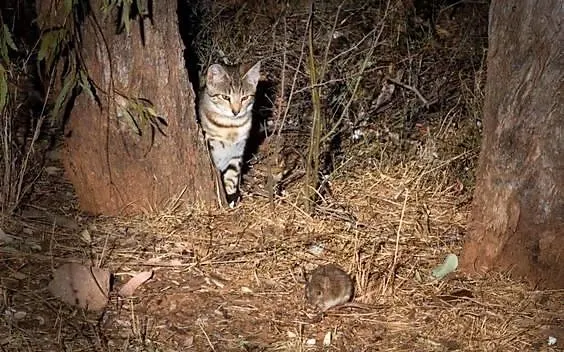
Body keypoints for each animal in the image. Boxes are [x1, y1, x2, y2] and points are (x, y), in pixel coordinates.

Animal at [198, 62, 262, 208]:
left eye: (245, 98)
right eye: (225, 97)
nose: (236, 112)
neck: (231, 127)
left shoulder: (236, 152)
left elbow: (232, 176)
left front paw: (232, 197)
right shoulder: (211, 145)